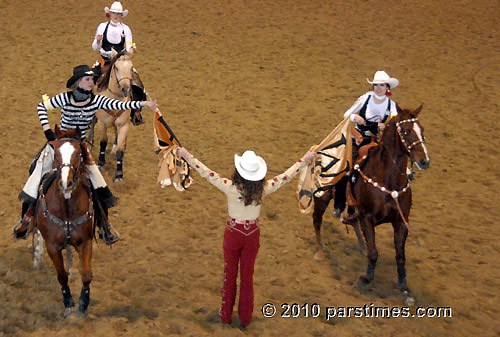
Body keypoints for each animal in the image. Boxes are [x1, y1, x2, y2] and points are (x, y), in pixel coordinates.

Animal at [35, 126, 94, 318]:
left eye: (78, 153)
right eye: (57, 154)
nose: (65, 184)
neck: (67, 209)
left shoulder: (86, 242)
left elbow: (87, 275)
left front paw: (83, 304)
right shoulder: (52, 246)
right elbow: (61, 275)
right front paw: (68, 302)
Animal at [94, 50, 135, 181]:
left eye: (131, 68)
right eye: (116, 67)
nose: (125, 89)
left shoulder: (123, 126)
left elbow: (120, 151)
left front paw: (119, 174)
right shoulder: (102, 124)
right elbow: (103, 142)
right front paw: (101, 163)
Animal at [348, 103, 430, 304]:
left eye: (422, 130)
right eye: (407, 132)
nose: (424, 161)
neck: (388, 181)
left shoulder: (401, 221)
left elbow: (400, 256)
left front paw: (405, 289)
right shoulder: (366, 217)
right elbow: (374, 251)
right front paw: (365, 279)